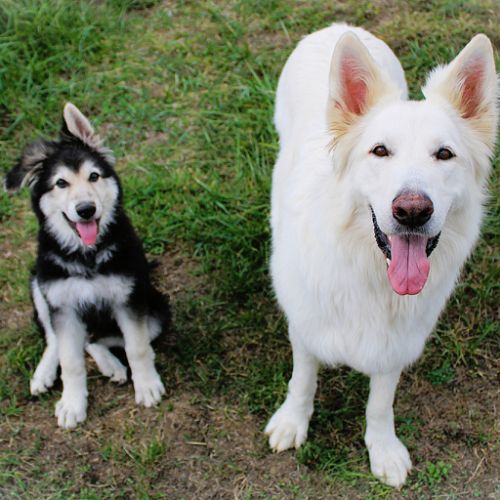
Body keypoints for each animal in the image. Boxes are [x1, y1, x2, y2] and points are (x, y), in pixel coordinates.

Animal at [5, 103, 171, 429]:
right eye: (60, 183)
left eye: (94, 176)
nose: (86, 209)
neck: (87, 256)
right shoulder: (62, 305)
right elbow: (70, 361)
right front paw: (72, 404)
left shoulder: (128, 298)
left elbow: (137, 347)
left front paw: (147, 386)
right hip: (39, 285)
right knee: (58, 339)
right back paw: (43, 375)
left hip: (156, 310)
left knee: (93, 340)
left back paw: (112, 366)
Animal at [265, 24, 497, 487]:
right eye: (380, 151)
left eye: (444, 154)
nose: (412, 211)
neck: (369, 273)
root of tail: (338, 26)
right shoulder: (304, 326)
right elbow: (303, 381)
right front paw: (292, 422)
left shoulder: (396, 345)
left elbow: (379, 403)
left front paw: (383, 449)